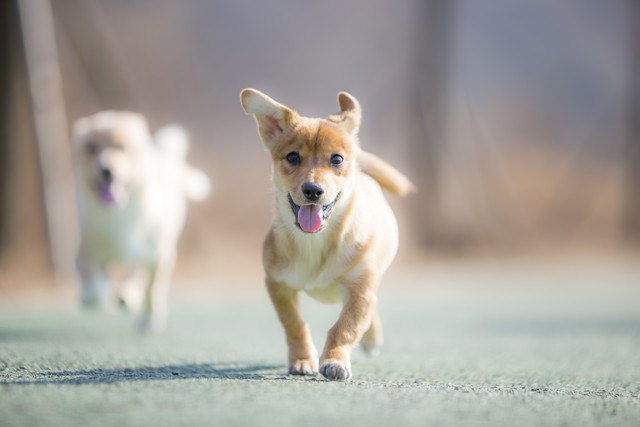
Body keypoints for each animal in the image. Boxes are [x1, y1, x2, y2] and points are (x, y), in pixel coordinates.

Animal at [74, 110, 210, 332]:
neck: (119, 215)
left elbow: (151, 290)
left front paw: (148, 320)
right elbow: (90, 275)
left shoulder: (159, 256)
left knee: (137, 275)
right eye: (91, 148)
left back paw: (128, 296)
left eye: (121, 147)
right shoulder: (85, 249)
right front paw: (92, 296)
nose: (105, 170)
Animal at [240, 89, 416, 382]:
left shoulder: (360, 291)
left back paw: (371, 339)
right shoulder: (278, 285)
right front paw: (302, 361)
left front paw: (335, 361)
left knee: (371, 310)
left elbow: (345, 327)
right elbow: (295, 324)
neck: (314, 243)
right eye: (292, 157)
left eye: (336, 159)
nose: (312, 190)